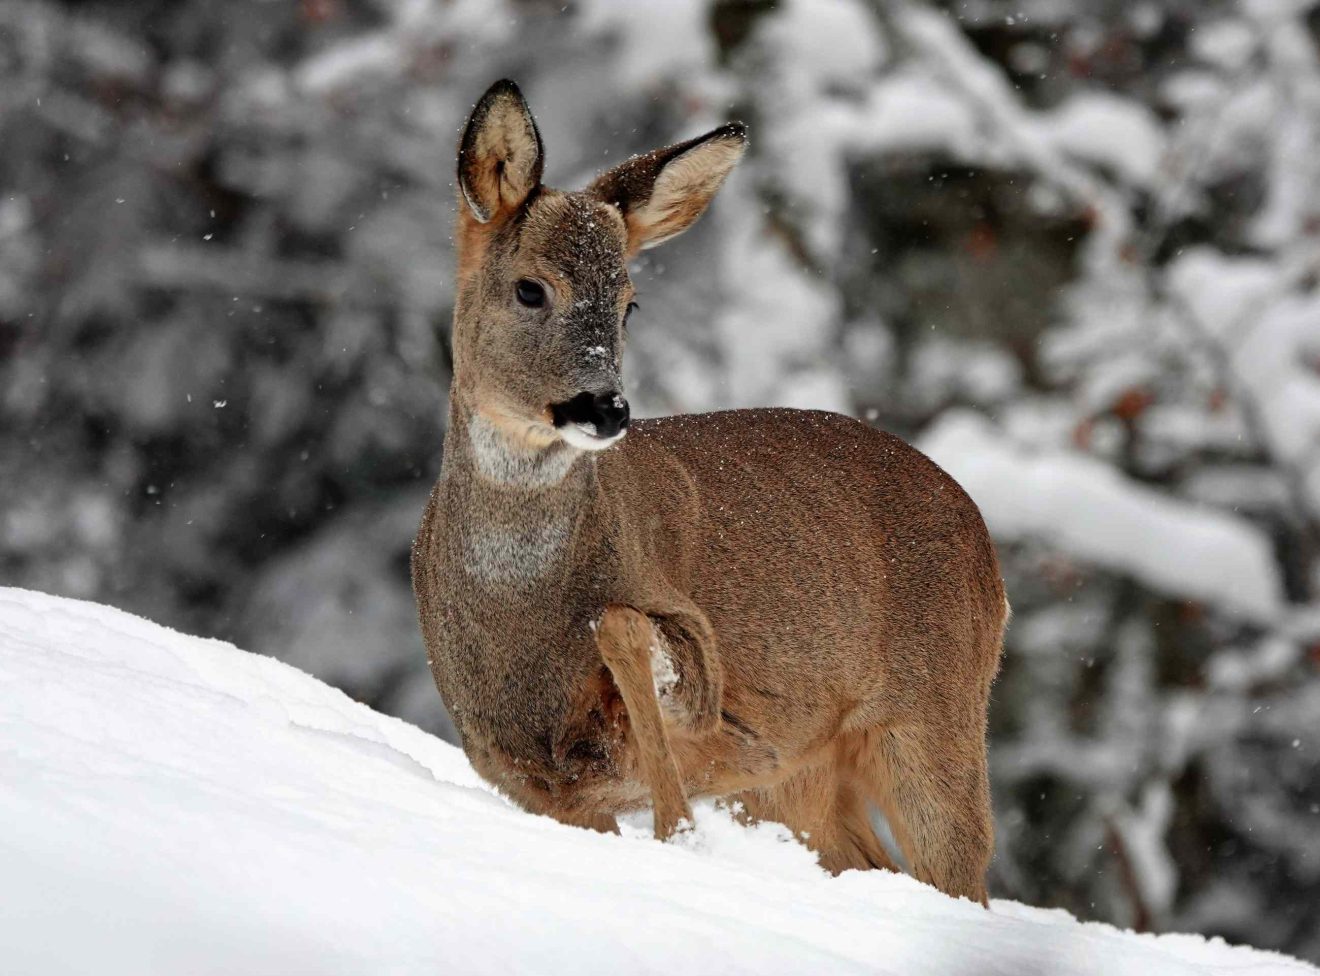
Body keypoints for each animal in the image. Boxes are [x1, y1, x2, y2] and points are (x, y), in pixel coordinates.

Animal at [412, 79, 1008, 905]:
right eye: (530, 289)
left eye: (630, 303)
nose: (607, 409)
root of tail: (989, 549)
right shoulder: (535, 783)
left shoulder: (703, 679)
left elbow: (630, 635)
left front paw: (680, 834)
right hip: (807, 781)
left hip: (933, 714)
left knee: (961, 874)